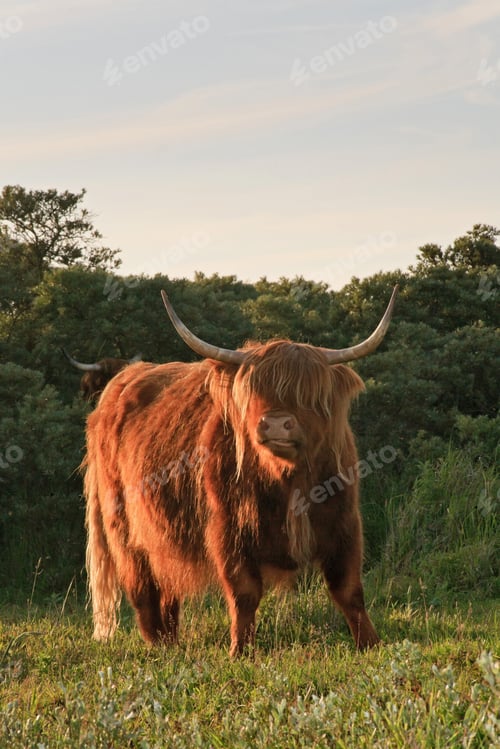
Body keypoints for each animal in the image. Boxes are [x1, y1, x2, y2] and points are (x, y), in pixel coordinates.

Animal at [83, 286, 398, 656]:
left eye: (307, 394)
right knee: (142, 585)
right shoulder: (228, 529)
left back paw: (171, 640)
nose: (275, 423)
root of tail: (118, 385)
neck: (288, 478)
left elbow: (348, 589)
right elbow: (244, 593)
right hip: (122, 526)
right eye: (255, 391)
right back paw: (158, 644)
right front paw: (241, 650)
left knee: (167, 584)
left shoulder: (345, 522)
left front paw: (371, 644)